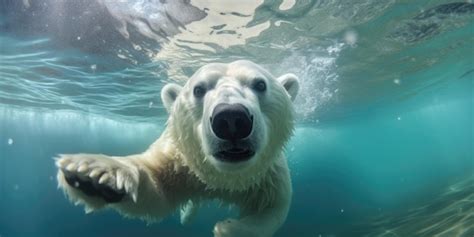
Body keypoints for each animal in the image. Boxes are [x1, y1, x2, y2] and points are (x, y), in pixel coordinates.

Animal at [55, 60, 300, 236]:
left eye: (260, 84)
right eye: (198, 89)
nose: (231, 119)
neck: (223, 177)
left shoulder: (267, 175)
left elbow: (273, 210)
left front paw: (228, 228)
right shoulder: (178, 161)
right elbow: (156, 191)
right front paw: (92, 176)